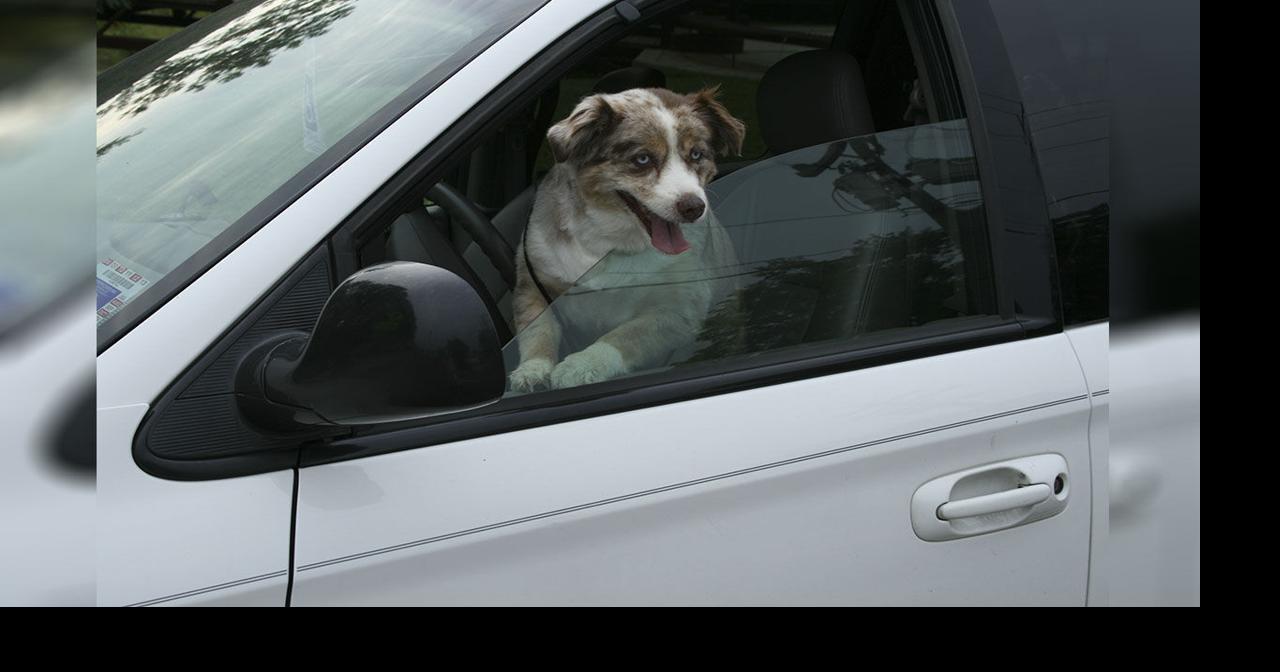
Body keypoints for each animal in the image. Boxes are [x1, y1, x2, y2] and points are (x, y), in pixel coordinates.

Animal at [509, 85, 747, 389]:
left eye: (696, 155)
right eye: (642, 159)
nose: (694, 207)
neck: (608, 241)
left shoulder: (680, 307)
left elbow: (625, 335)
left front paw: (583, 365)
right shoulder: (532, 282)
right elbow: (538, 328)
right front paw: (533, 369)